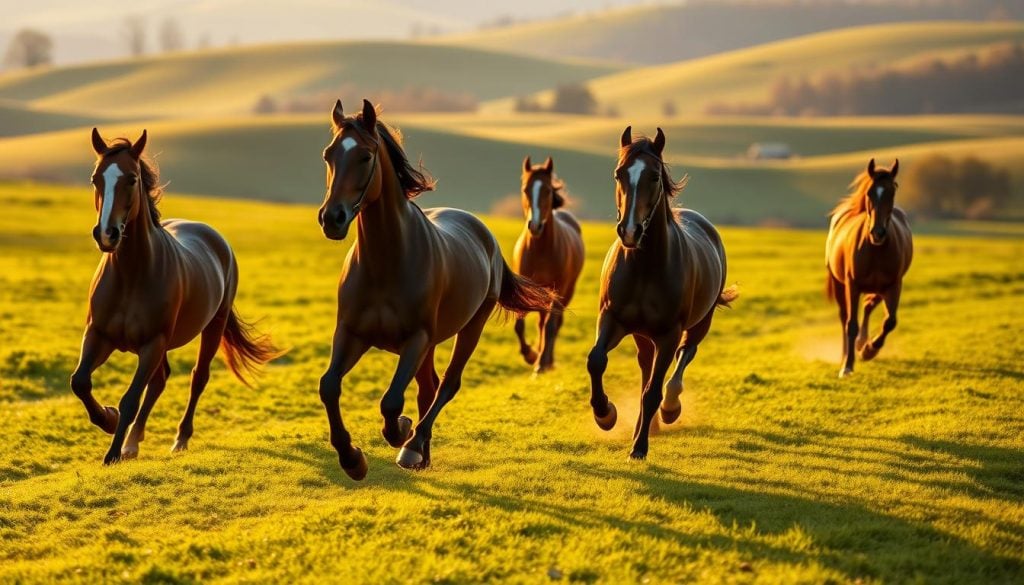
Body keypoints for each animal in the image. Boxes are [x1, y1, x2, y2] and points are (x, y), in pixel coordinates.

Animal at [70, 129, 280, 467]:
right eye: (95, 178)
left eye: (131, 179)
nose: (106, 234)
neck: (131, 274)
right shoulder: (99, 335)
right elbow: (80, 382)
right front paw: (109, 420)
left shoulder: (152, 343)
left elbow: (130, 398)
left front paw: (112, 453)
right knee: (160, 380)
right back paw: (133, 443)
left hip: (212, 327)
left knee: (197, 377)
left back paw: (179, 439)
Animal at [315, 99, 557, 481]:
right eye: (329, 155)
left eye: (365, 156)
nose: (332, 219)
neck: (386, 263)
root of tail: (484, 235)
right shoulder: (352, 334)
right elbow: (329, 386)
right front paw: (352, 459)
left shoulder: (415, 339)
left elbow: (392, 401)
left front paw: (399, 431)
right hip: (428, 345)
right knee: (428, 387)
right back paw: (420, 451)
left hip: (469, 328)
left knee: (447, 384)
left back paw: (414, 447)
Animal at [512, 155, 585, 372]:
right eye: (525, 189)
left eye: (547, 190)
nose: (535, 226)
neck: (540, 250)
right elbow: (519, 324)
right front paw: (530, 355)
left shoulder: (558, 290)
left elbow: (550, 326)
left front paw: (540, 363)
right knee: (542, 322)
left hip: (565, 292)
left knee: (553, 323)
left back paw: (547, 361)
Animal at [585, 127, 737, 463]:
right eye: (619, 174)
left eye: (654, 176)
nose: (629, 231)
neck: (644, 267)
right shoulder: (612, 320)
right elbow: (596, 361)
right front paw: (606, 414)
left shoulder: (669, 333)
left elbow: (654, 390)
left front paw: (639, 448)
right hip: (643, 335)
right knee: (646, 367)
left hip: (699, 323)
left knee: (684, 356)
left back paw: (669, 409)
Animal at [823, 158, 913, 379]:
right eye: (870, 193)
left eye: (892, 191)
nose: (878, 233)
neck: (875, 249)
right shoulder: (852, 285)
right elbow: (851, 324)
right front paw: (847, 366)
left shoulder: (894, 285)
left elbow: (890, 322)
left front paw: (868, 350)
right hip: (840, 285)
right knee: (845, 316)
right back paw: (845, 353)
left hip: (880, 288)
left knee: (869, 306)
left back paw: (862, 344)